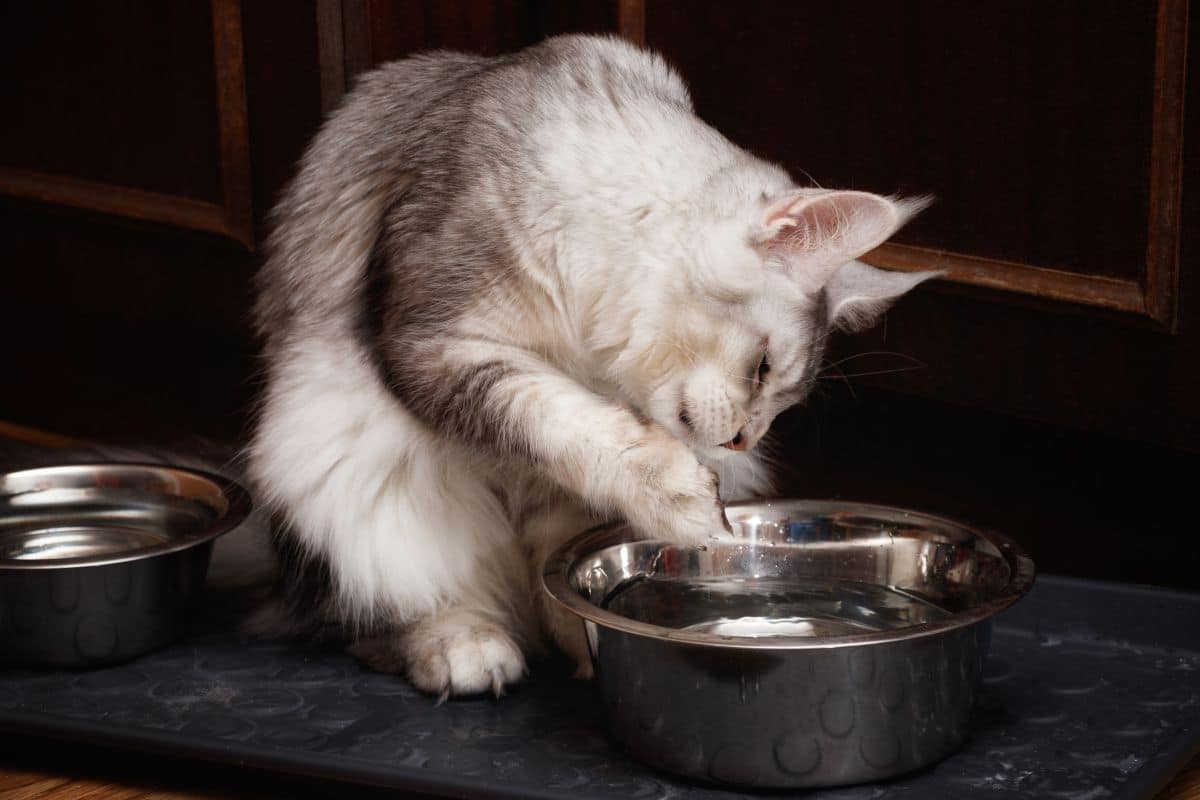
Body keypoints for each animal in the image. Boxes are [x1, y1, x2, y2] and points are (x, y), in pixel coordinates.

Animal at [246, 34, 936, 700]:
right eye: (764, 368)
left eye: (781, 400)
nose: (745, 440)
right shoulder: (439, 344)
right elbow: (569, 425)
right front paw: (680, 498)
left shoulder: (558, 455)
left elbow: (571, 514)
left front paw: (583, 628)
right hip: (335, 459)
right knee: (379, 612)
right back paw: (463, 644)